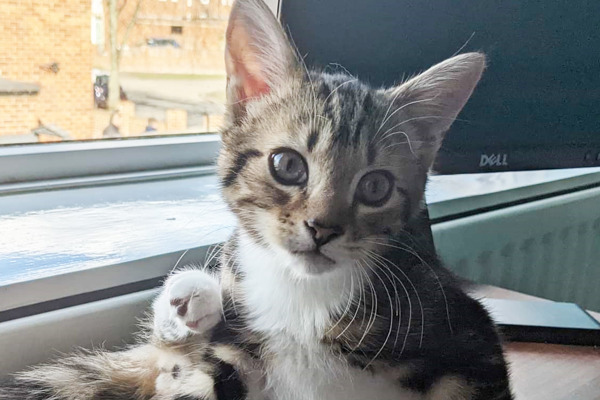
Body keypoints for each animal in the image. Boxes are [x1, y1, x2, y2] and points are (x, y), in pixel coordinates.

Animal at [0, 0, 510, 398]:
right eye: (287, 165)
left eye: (375, 187)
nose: (323, 228)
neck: (301, 296)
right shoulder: (228, 355)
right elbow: (192, 380)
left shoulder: (467, 335)